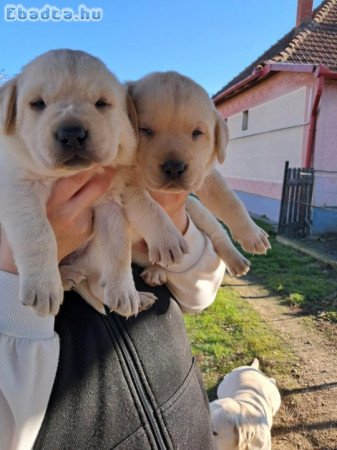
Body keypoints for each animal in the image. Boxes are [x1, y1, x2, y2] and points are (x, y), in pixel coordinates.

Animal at [0, 50, 186, 316]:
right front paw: (43, 287)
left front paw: (124, 293)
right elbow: (38, 232)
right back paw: (62, 279)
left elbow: (119, 251)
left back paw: (135, 297)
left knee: (98, 284)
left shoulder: (110, 204)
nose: (71, 134)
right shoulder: (18, 188)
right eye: (37, 104)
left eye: (101, 103)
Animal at [126, 72, 270, 286]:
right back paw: (155, 271)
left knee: (218, 233)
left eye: (197, 133)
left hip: (196, 208)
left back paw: (237, 260)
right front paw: (167, 239)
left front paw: (252, 233)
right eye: (145, 130)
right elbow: (145, 203)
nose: (174, 168)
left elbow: (230, 200)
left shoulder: (206, 174)